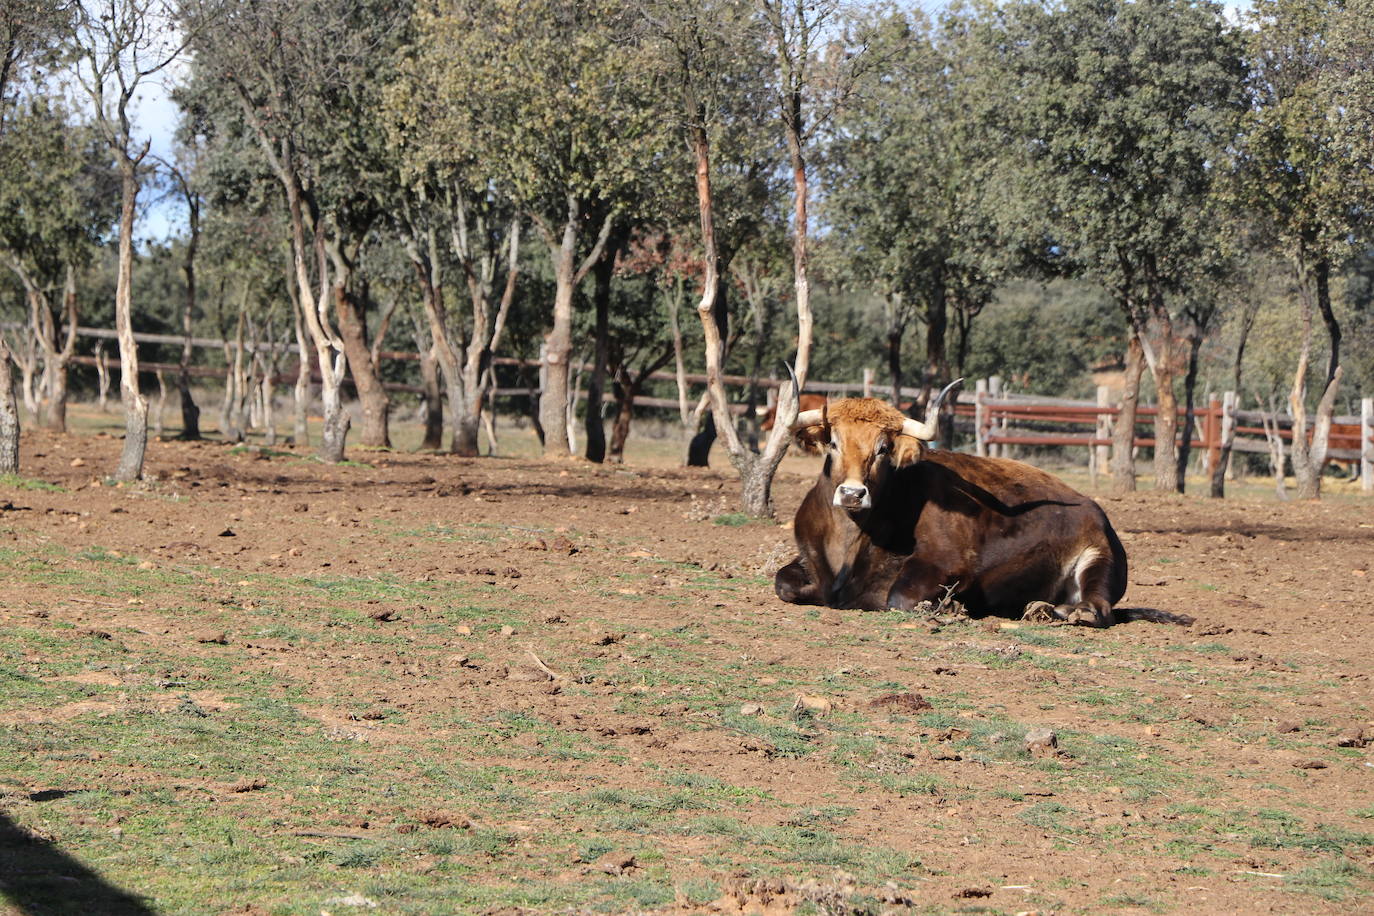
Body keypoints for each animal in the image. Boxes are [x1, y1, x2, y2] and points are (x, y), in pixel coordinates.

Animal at [774, 384, 1126, 626]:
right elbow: (784, 583)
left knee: (1100, 607)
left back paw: (1070, 612)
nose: (851, 493)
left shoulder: (945, 564)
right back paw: (1039, 608)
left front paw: (951, 606)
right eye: (834, 443)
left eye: (883, 448)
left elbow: (899, 597)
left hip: (1097, 560)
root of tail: (1095, 510)